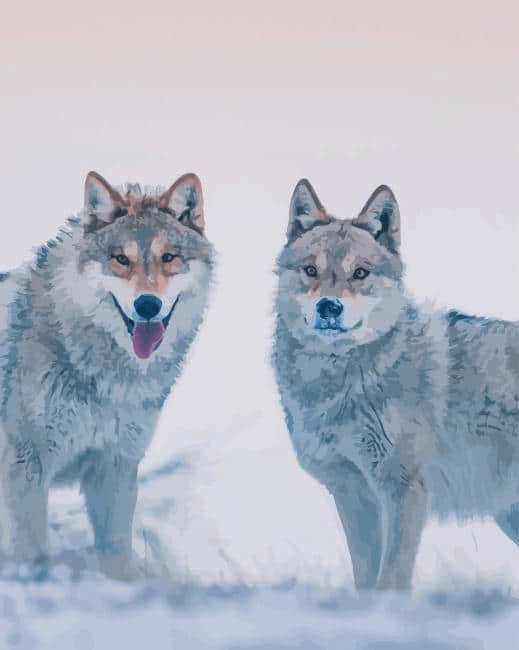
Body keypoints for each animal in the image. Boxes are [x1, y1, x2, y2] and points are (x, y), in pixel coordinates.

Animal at [0, 171, 214, 579]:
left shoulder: (116, 465)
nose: (147, 304)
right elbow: (33, 552)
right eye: (121, 259)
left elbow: (115, 550)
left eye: (168, 257)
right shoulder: (27, 465)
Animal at [273, 179, 519, 590]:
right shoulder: (352, 494)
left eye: (360, 273)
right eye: (310, 270)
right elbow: (365, 577)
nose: (329, 307)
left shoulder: (403, 488)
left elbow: (391, 578)